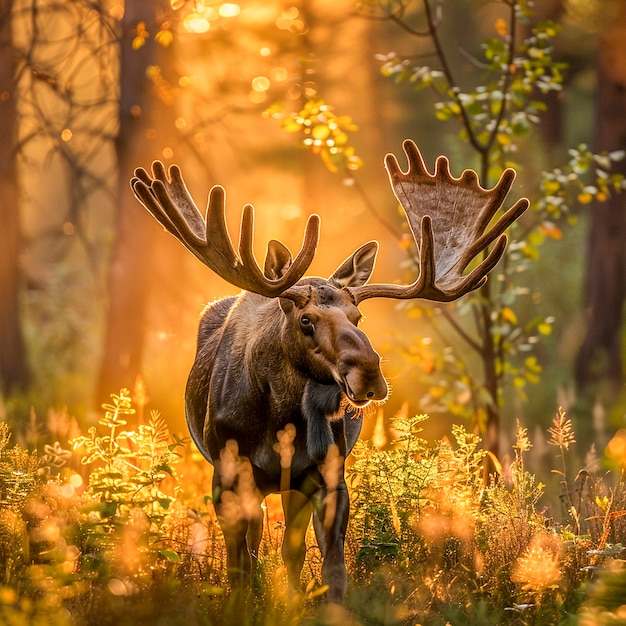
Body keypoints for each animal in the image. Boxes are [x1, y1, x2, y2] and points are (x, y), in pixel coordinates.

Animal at [130, 140, 528, 600]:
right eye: (306, 320)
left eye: (358, 317)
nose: (368, 373)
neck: (280, 420)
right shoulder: (227, 473)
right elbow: (238, 567)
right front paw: (244, 602)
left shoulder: (327, 475)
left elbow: (331, 569)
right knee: (255, 544)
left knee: (289, 548)